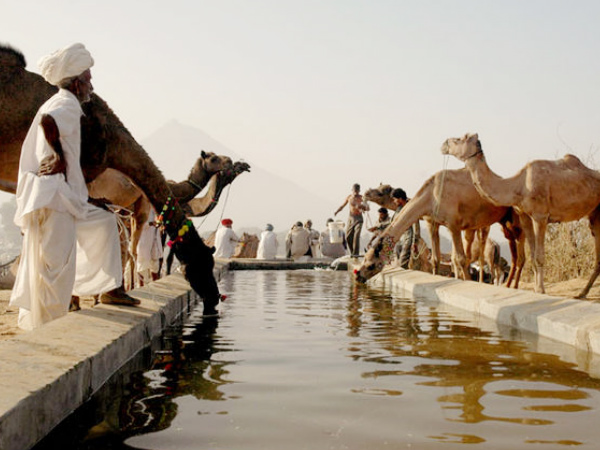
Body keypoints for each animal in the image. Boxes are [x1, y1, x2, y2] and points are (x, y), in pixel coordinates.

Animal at [360, 176, 524, 284]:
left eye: (381, 192)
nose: (366, 193)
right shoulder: (435, 223)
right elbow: (443, 258)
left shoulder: (454, 224)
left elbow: (459, 258)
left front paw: (465, 280)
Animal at [440, 132, 600, 298]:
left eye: (460, 138)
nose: (444, 144)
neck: (519, 185)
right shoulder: (525, 217)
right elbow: (533, 257)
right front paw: (536, 289)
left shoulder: (540, 216)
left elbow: (539, 257)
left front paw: (541, 290)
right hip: (595, 214)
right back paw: (581, 293)